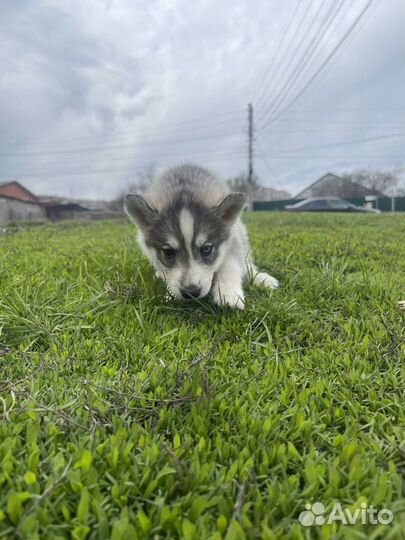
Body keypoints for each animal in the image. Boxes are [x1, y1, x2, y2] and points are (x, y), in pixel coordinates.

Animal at [124, 163, 278, 308]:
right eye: (168, 253)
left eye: (206, 249)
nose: (191, 292)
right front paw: (170, 292)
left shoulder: (232, 240)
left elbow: (230, 266)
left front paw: (229, 293)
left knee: (246, 264)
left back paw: (261, 278)